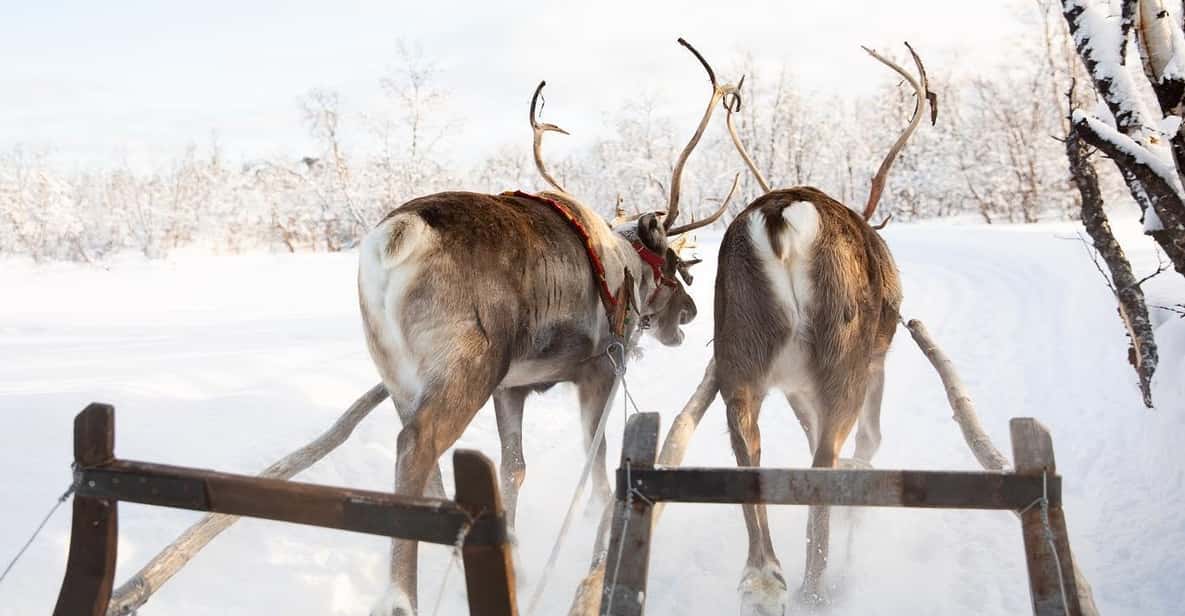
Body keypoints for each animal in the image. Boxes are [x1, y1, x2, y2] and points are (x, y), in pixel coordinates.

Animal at [357, 38, 740, 616]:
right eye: (673, 265)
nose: (692, 311)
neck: (627, 265)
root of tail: (397, 236)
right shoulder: (597, 370)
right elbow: (596, 461)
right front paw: (596, 532)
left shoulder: (512, 388)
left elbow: (513, 467)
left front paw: (512, 551)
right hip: (468, 367)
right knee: (416, 447)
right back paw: (403, 596)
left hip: (401, 377)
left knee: (429, 464)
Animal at [705, 43, 934, 614]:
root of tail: (780, 217)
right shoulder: (875, 363)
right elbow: (871, 440)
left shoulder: (792, 386)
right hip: (844, 355)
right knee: (824, 461)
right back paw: (817, 586)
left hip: (738, 355)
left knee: (749, 451)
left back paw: (765, 578)